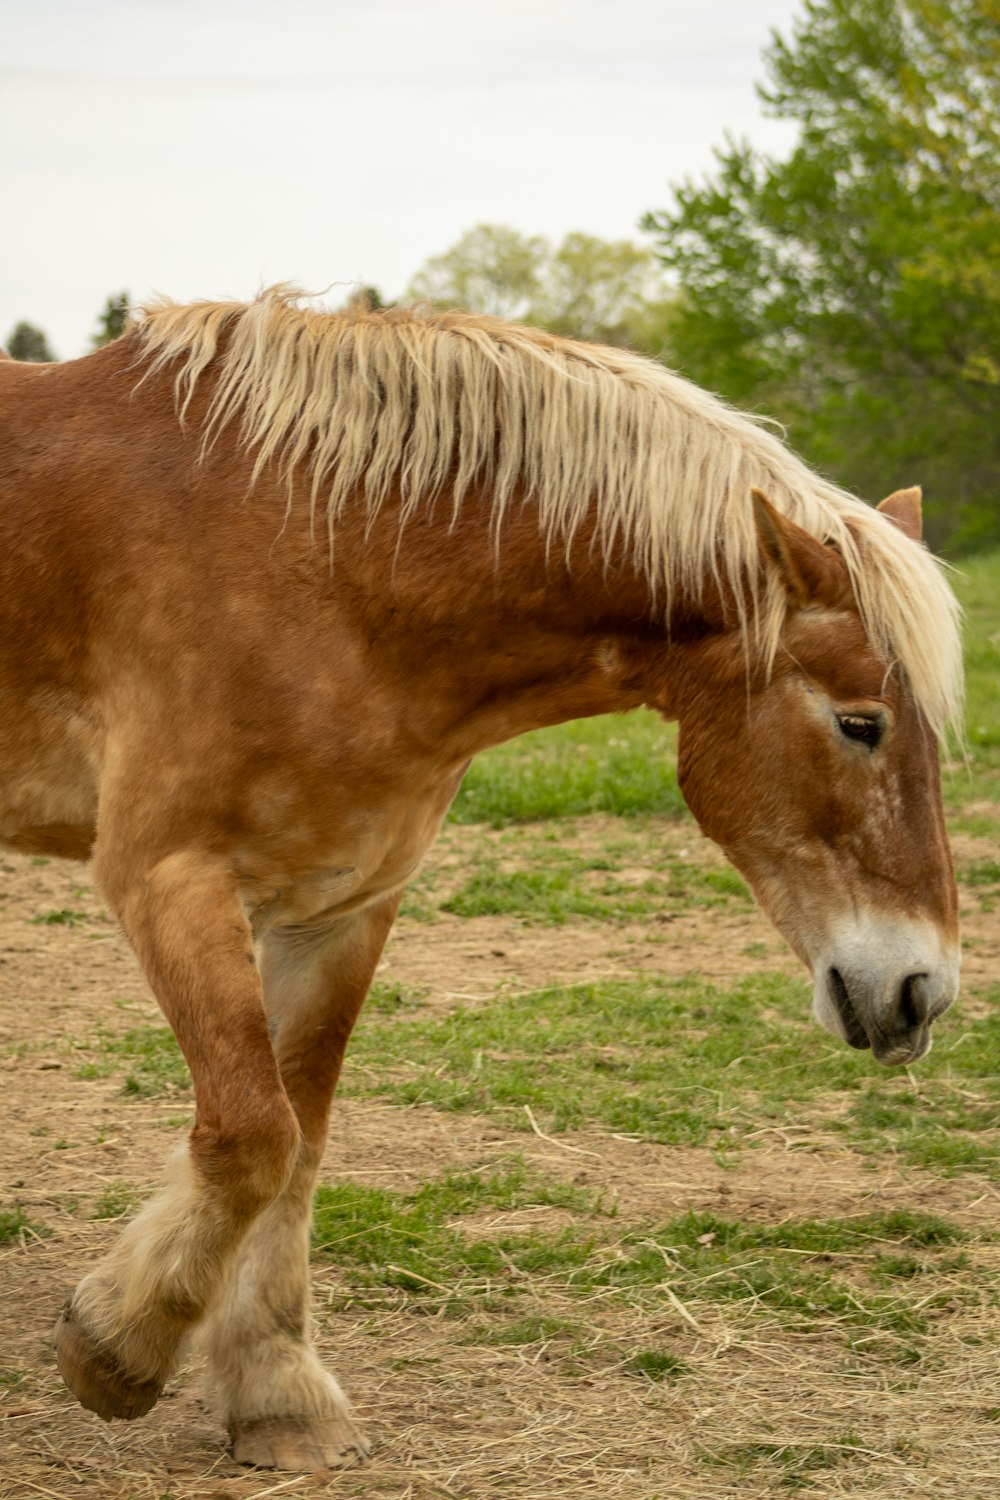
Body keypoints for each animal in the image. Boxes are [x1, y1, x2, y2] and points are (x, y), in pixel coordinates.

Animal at [0, 286, 959, 1470]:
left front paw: (276, 1390)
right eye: (860, 723)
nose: (922, 993)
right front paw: (116, 1348)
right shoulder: (167, 878)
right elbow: (251, 1135)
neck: (324, 560)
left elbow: (298, 1137)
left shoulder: (344, 906)